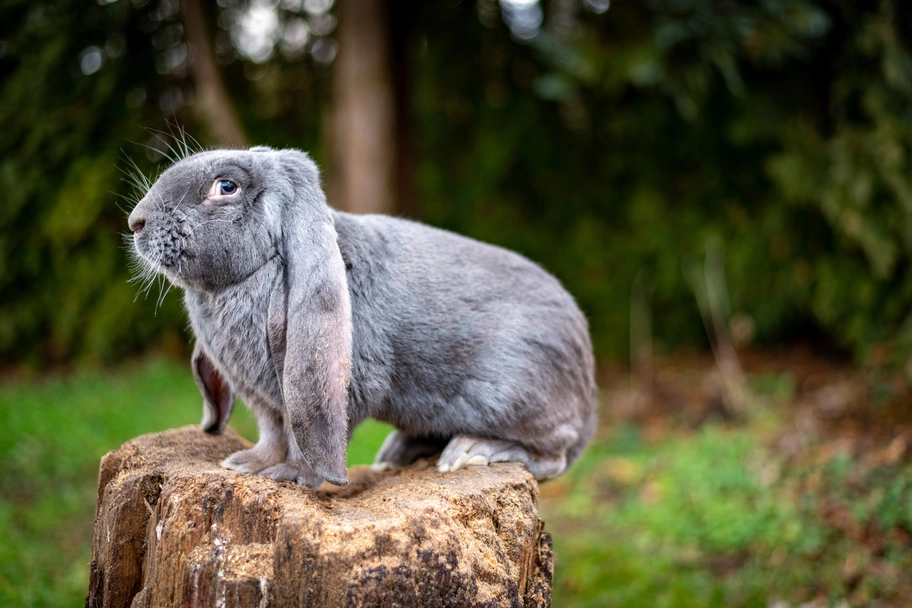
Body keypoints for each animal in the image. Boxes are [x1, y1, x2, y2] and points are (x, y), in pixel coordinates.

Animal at [127, 146, 596, 488]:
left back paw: (472, 451)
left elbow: (304, 435)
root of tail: (588, 393)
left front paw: (290, 476)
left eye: (226, 186)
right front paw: (247, 464)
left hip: (519, 397)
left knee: (553, 457)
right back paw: (398, 454)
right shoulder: (265, 401)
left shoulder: (335, 389)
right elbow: (272, 432)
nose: (136, 221)